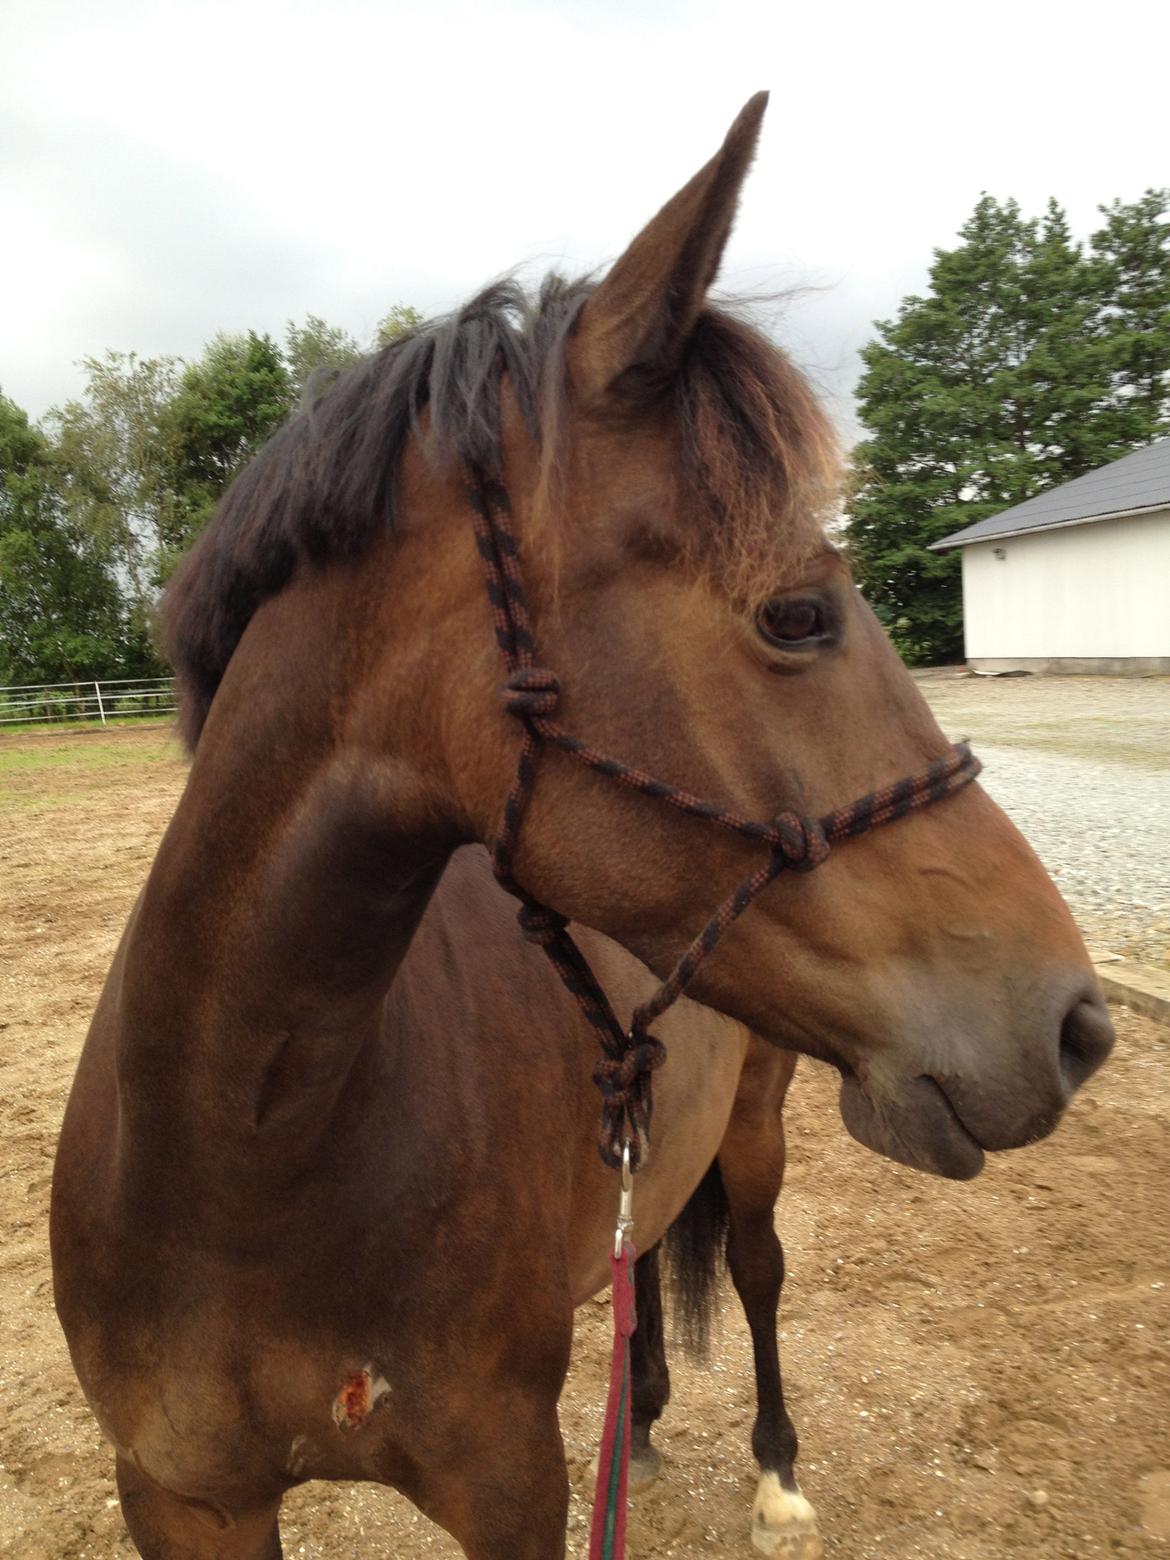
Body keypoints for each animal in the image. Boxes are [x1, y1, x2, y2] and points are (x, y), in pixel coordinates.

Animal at [52, 88, 1116, 1560]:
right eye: (797, 612)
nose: (1076, 1023)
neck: (243, 1161)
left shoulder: (509, 1486)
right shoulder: (180, 1495)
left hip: (758, 1125)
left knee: (753, 1265)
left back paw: (773, 1467)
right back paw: (649, 1421)